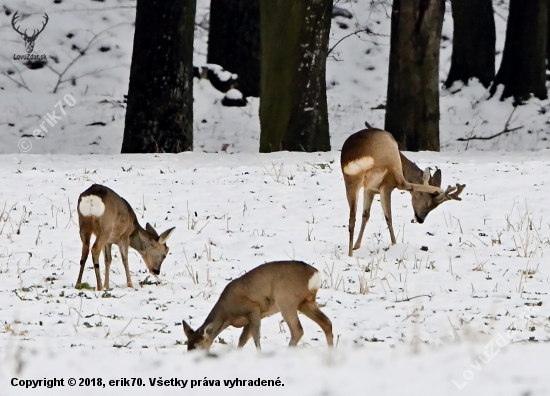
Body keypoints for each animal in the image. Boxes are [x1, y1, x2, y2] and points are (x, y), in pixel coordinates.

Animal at [183, 262, 334, 352]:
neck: (227, 313)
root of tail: (315, 274)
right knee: (326, 323)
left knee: (298, 330)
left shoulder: (253, 308)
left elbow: (255, 337)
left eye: (198, 347)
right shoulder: (253, 317)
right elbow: (243, 339)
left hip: (285, 300)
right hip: (306, 302)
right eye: (188, 346)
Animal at [342, 127, 468, 256]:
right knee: (402, 186)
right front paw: (394, 244)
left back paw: (350, 254)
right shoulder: (385, 185)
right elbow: (388, 217)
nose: (420, 220)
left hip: (351, 180)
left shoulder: (369, 189)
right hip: (391, 163)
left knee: (352, 219)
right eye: (428, 203)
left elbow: (365, 215)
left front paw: (356, 246)